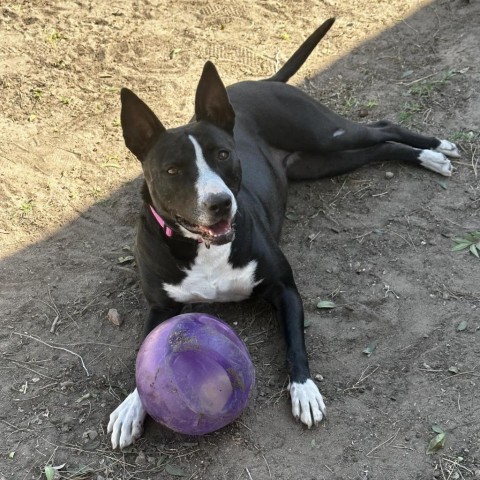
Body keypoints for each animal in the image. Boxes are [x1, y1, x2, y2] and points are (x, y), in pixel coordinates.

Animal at [107, 16, 460, 448]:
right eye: (172, 170)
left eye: (222, 154)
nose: (220, 203)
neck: (206, 250)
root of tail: (262, 80)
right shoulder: (161, 308)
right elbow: (143, 353)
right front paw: (130, 405)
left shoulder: (285, 290)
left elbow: (295, 342)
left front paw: (304, 390)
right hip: (322, 162)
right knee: (378, 148)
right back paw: (429, 155)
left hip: (324, 134)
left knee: (380, 127)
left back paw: (436, 150)